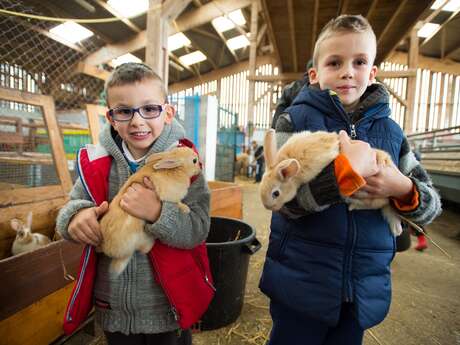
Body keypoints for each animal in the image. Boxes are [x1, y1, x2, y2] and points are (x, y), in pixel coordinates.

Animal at [99, 146, 200, 276]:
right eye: (194, 161)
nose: (199, 170)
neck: (177, 169)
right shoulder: (169, 196)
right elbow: (177, 203)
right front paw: (185, 208)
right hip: (140, 238)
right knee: (144, 249)